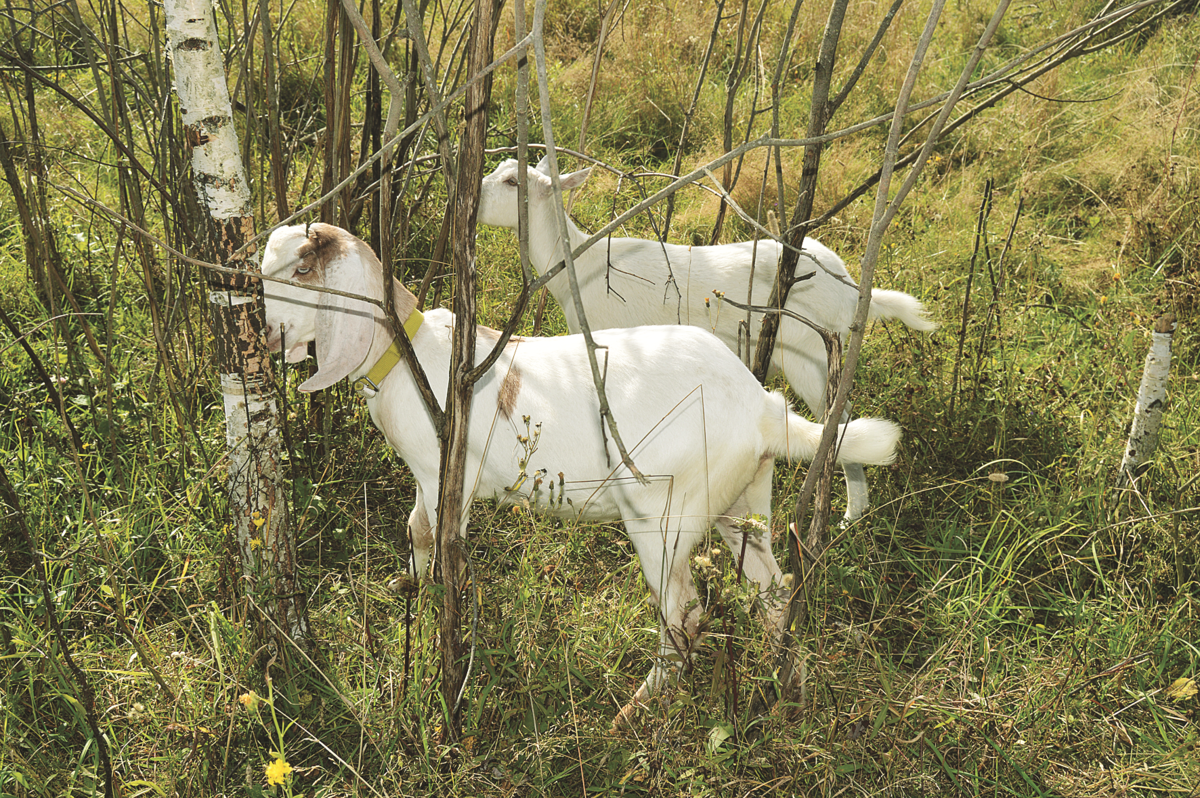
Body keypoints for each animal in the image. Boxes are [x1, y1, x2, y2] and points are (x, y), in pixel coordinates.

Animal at [262, 220, 902, 724]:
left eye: (301, 270)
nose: (266, 335)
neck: (406, 356)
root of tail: (763, 409)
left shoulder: (446, 473)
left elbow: (433, 533)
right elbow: (417, 531)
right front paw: (409, 587)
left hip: (663, 516)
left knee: (684, 616)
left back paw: (633, 713)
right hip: (742, 501)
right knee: (773, 588)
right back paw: (788, 693)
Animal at [477, 156, 936, 523]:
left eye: (513, 183)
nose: (474, 199)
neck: (577, 265)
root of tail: (851, 288)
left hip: (810, 353)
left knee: (836, 418)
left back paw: (849, 514)